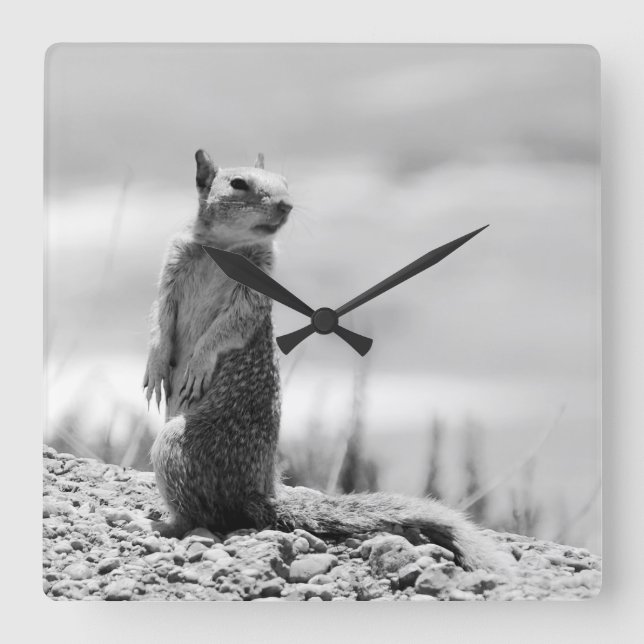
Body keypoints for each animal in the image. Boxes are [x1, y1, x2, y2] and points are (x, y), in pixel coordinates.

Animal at [143, 150, 505, 572]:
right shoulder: (171, 266)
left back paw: (161, 522)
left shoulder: (254, 291)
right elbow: (160, 317)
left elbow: (226, 328)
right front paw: (154, 367)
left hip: (173, 443)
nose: (286, 204)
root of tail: (258, 493)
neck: (226, 248)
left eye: (286, 182)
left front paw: (198, 364)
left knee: (200, 516)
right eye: (238, 184)